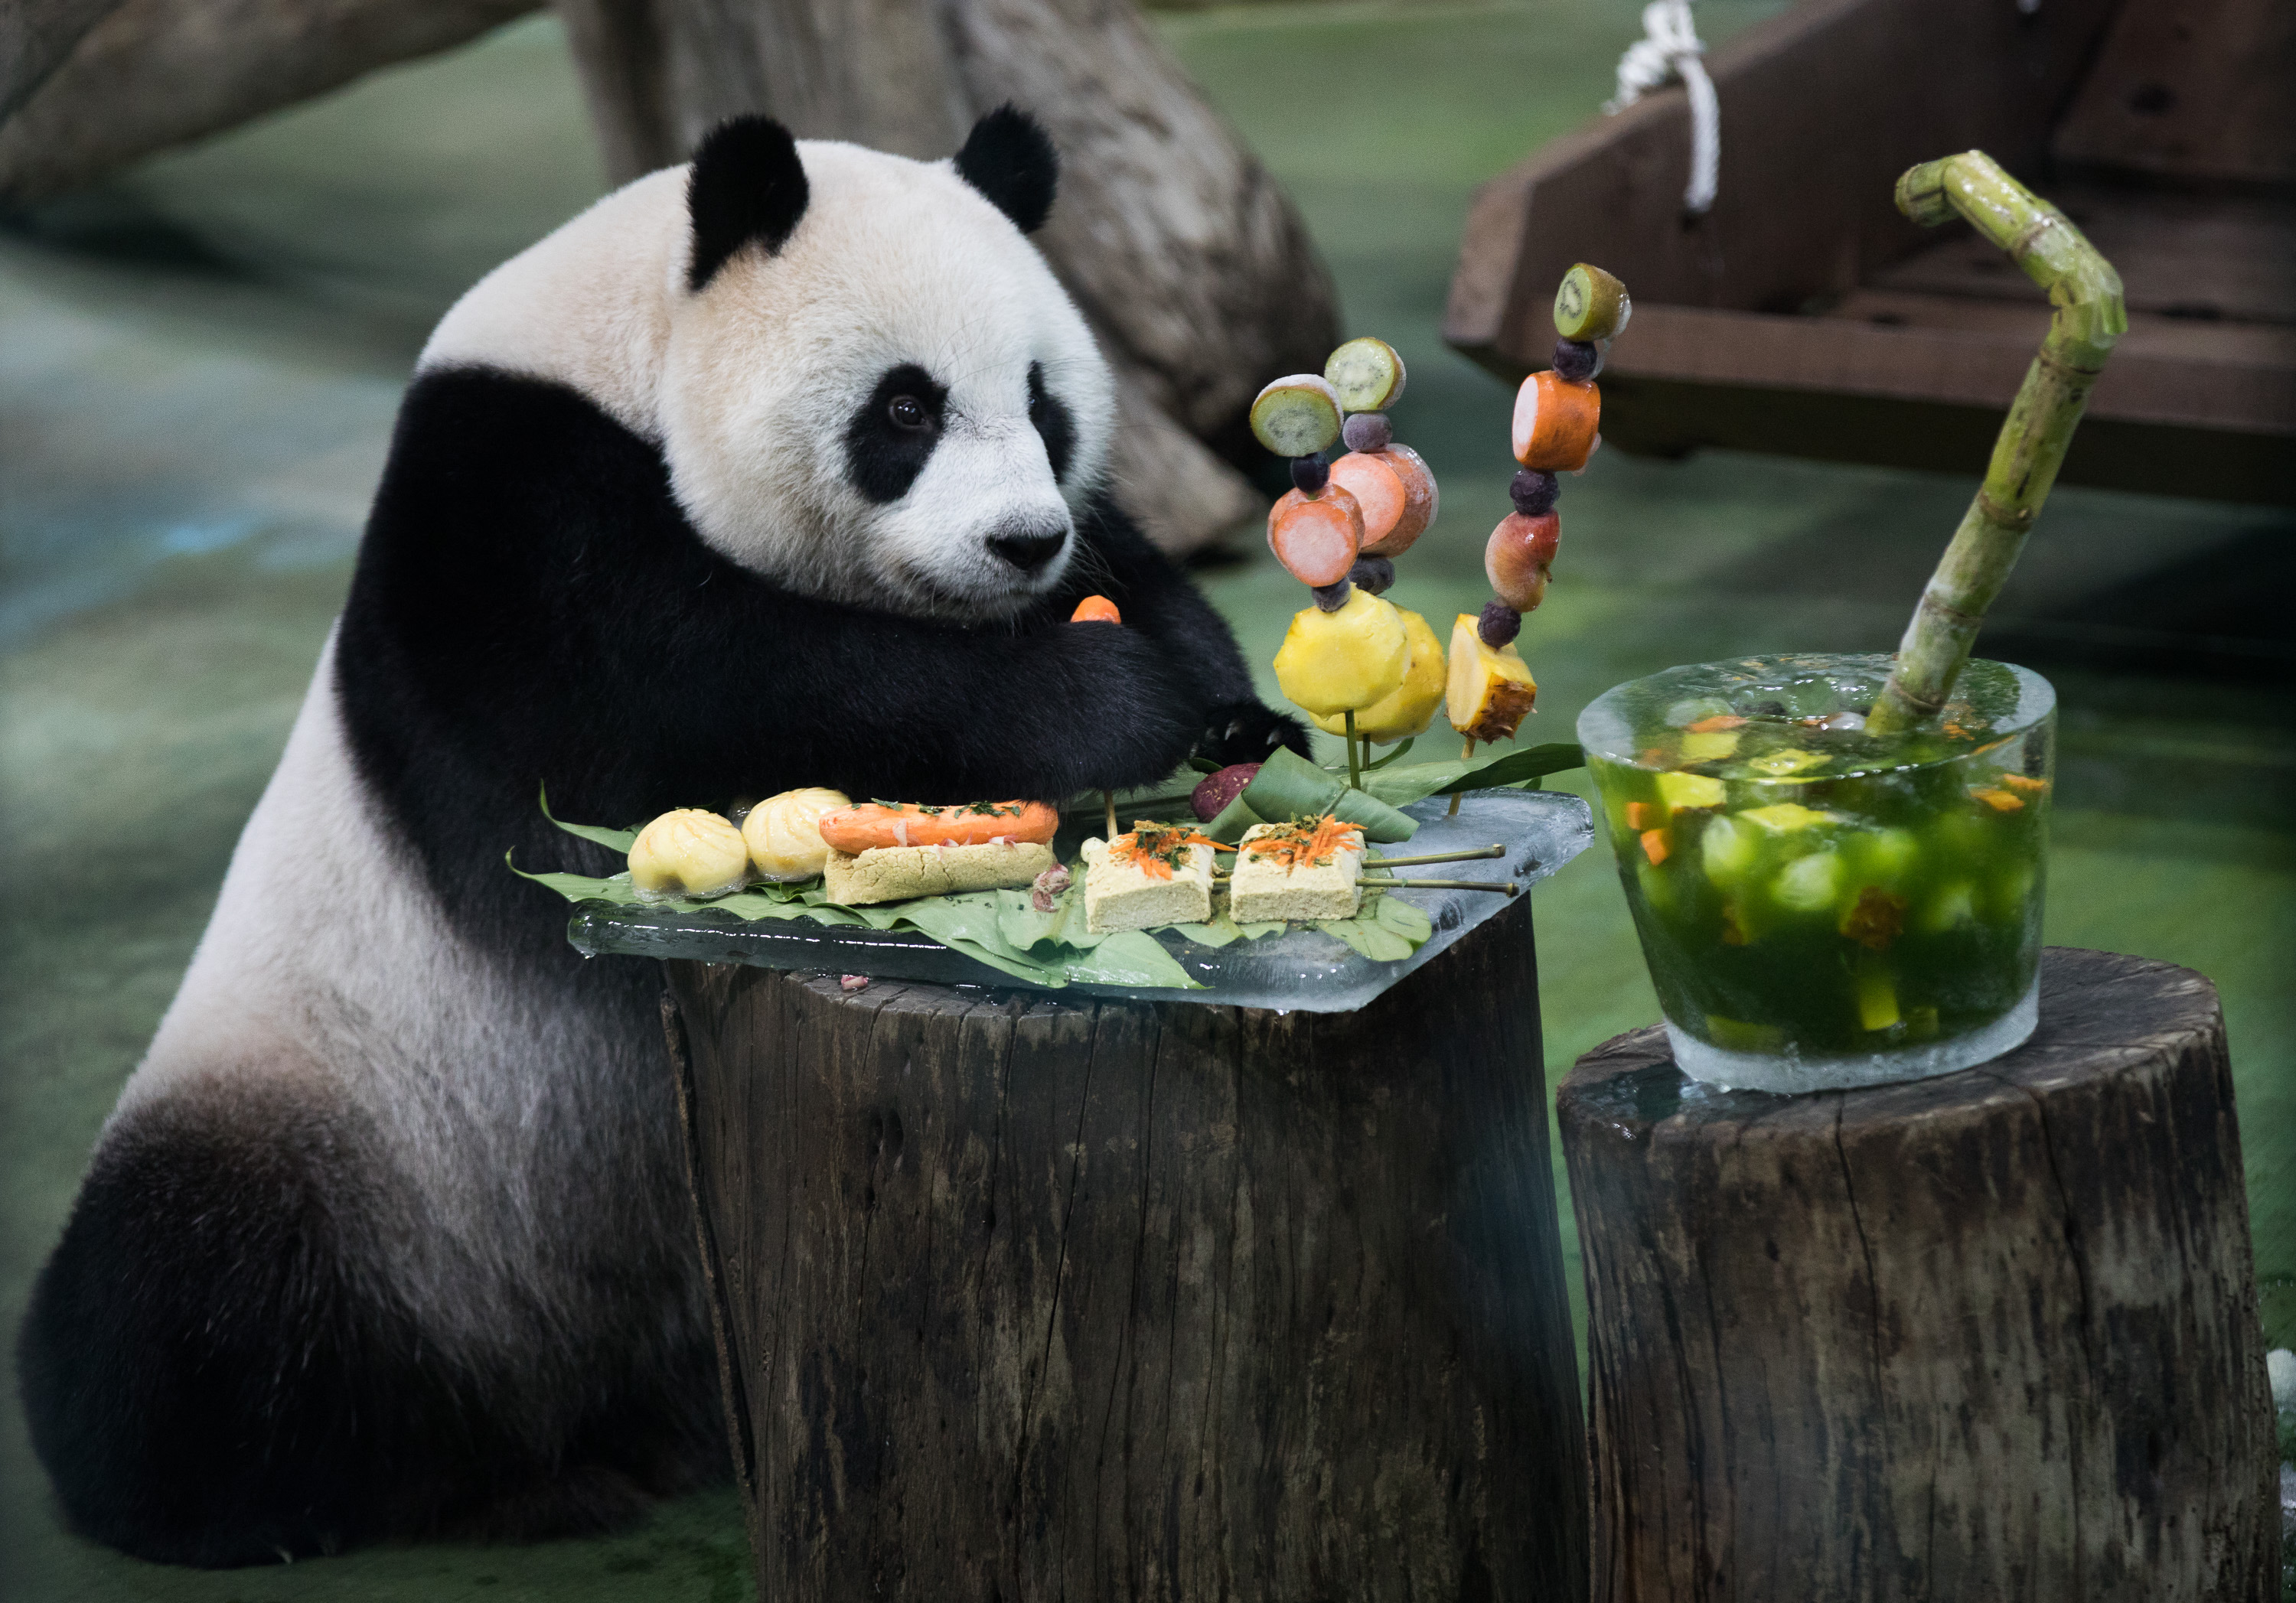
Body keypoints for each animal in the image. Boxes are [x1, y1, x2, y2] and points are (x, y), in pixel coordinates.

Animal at [18, 106, 1304, 1552]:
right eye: (904, 408)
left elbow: (1133, 572)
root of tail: (558, 1376)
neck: (620, 348)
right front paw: (1103, 699)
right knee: (178, 1326)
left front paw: (1221, 701)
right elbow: (711, 684)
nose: (1024, 542)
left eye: (1043, 402)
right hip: (342, 1123)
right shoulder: (499, 533)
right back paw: (467, 1482)